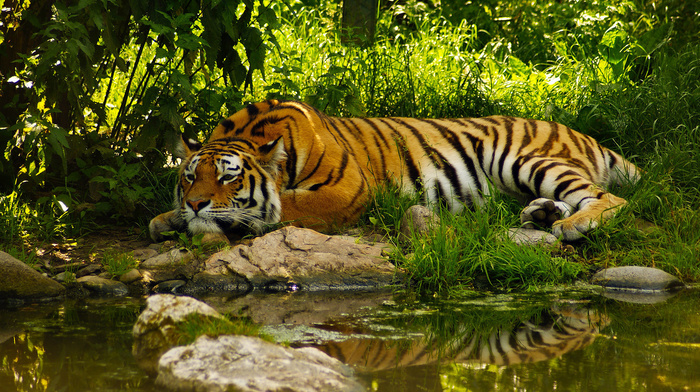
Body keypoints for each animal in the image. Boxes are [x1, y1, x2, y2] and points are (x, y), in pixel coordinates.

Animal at [148, 99, 640, 242]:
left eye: (229, 176)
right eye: (190, 176)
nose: (196, 204)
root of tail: (582, 133)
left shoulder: (347, 189)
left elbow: (284, 206)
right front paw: (167, 218)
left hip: (522, 158)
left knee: (609, 198)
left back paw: (571, 225)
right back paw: (542, 214)